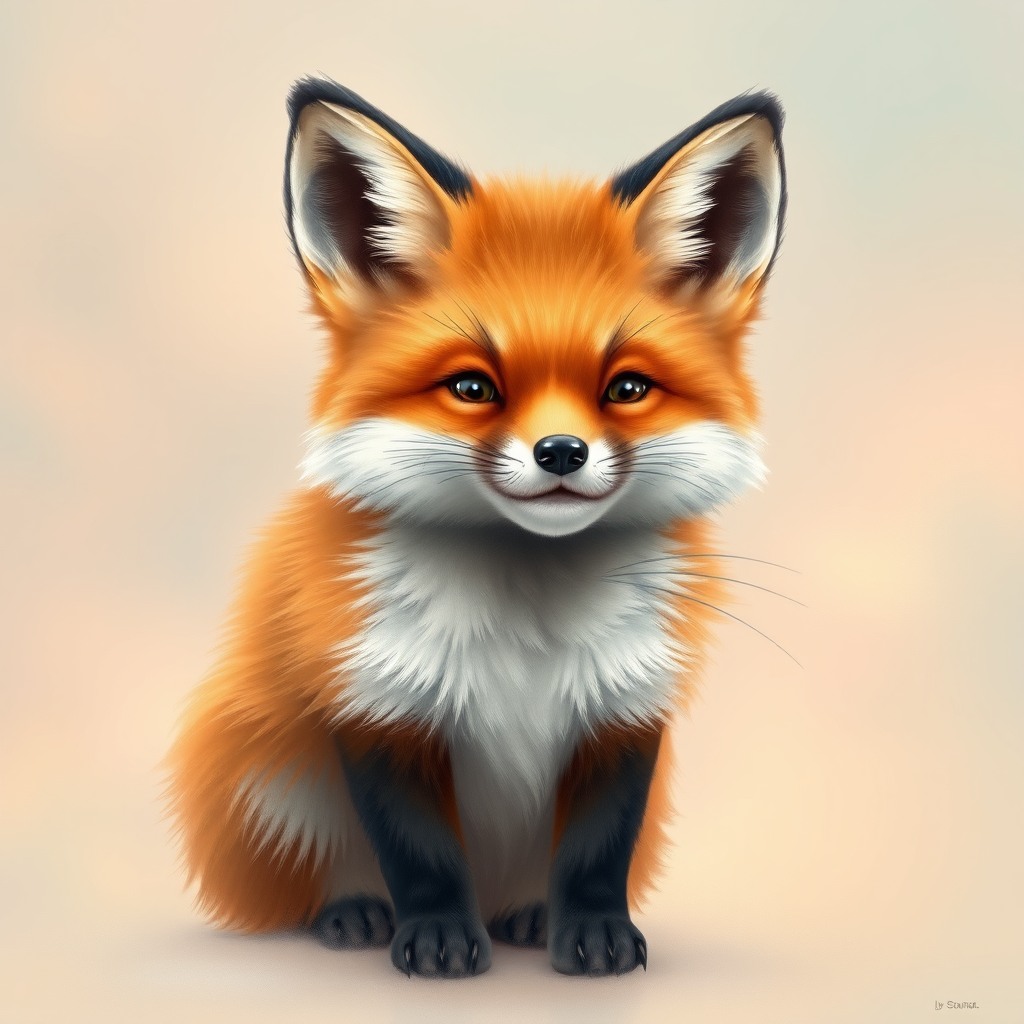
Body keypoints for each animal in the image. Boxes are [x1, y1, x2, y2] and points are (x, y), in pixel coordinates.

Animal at [165, 76, 787, 979]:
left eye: (627, 388)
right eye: (471, 387)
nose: (560, 451)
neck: (529, 626)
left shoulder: (623, 711)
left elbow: (596, 850)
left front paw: (591, 934)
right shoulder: (377, 702)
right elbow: (420, 851)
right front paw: (435, 938)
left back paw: (527, 913)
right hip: (269, 776)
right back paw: (354, 913)